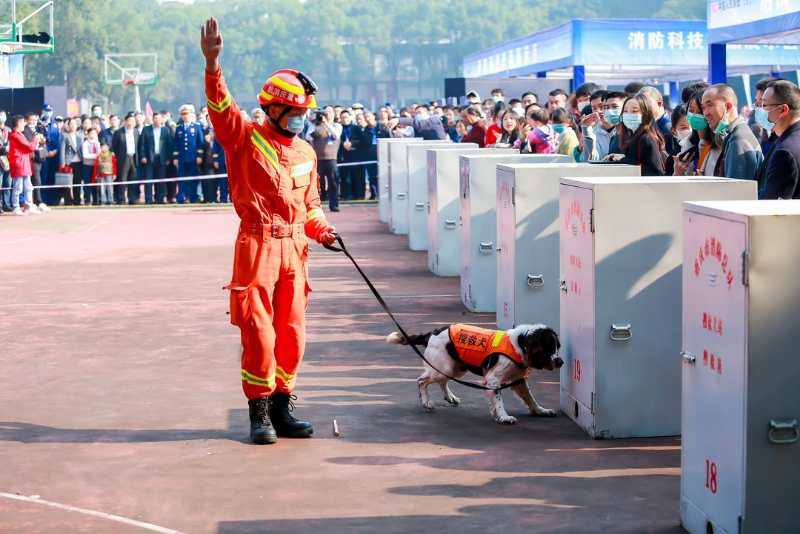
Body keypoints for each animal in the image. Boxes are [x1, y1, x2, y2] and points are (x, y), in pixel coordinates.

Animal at [386, 323, 563, 424]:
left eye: (557, 347)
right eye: (548, 347)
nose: (561, 362)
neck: (518, 345)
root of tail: (431, 334)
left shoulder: (518, 379)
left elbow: (530, 398)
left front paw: (541, 411)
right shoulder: (492, 379)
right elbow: (499, 400)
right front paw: (504, 417)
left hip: (455, 368)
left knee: (442, 381)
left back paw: (450, 398)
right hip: (444, 368)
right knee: (421, 380)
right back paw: (426, 402)